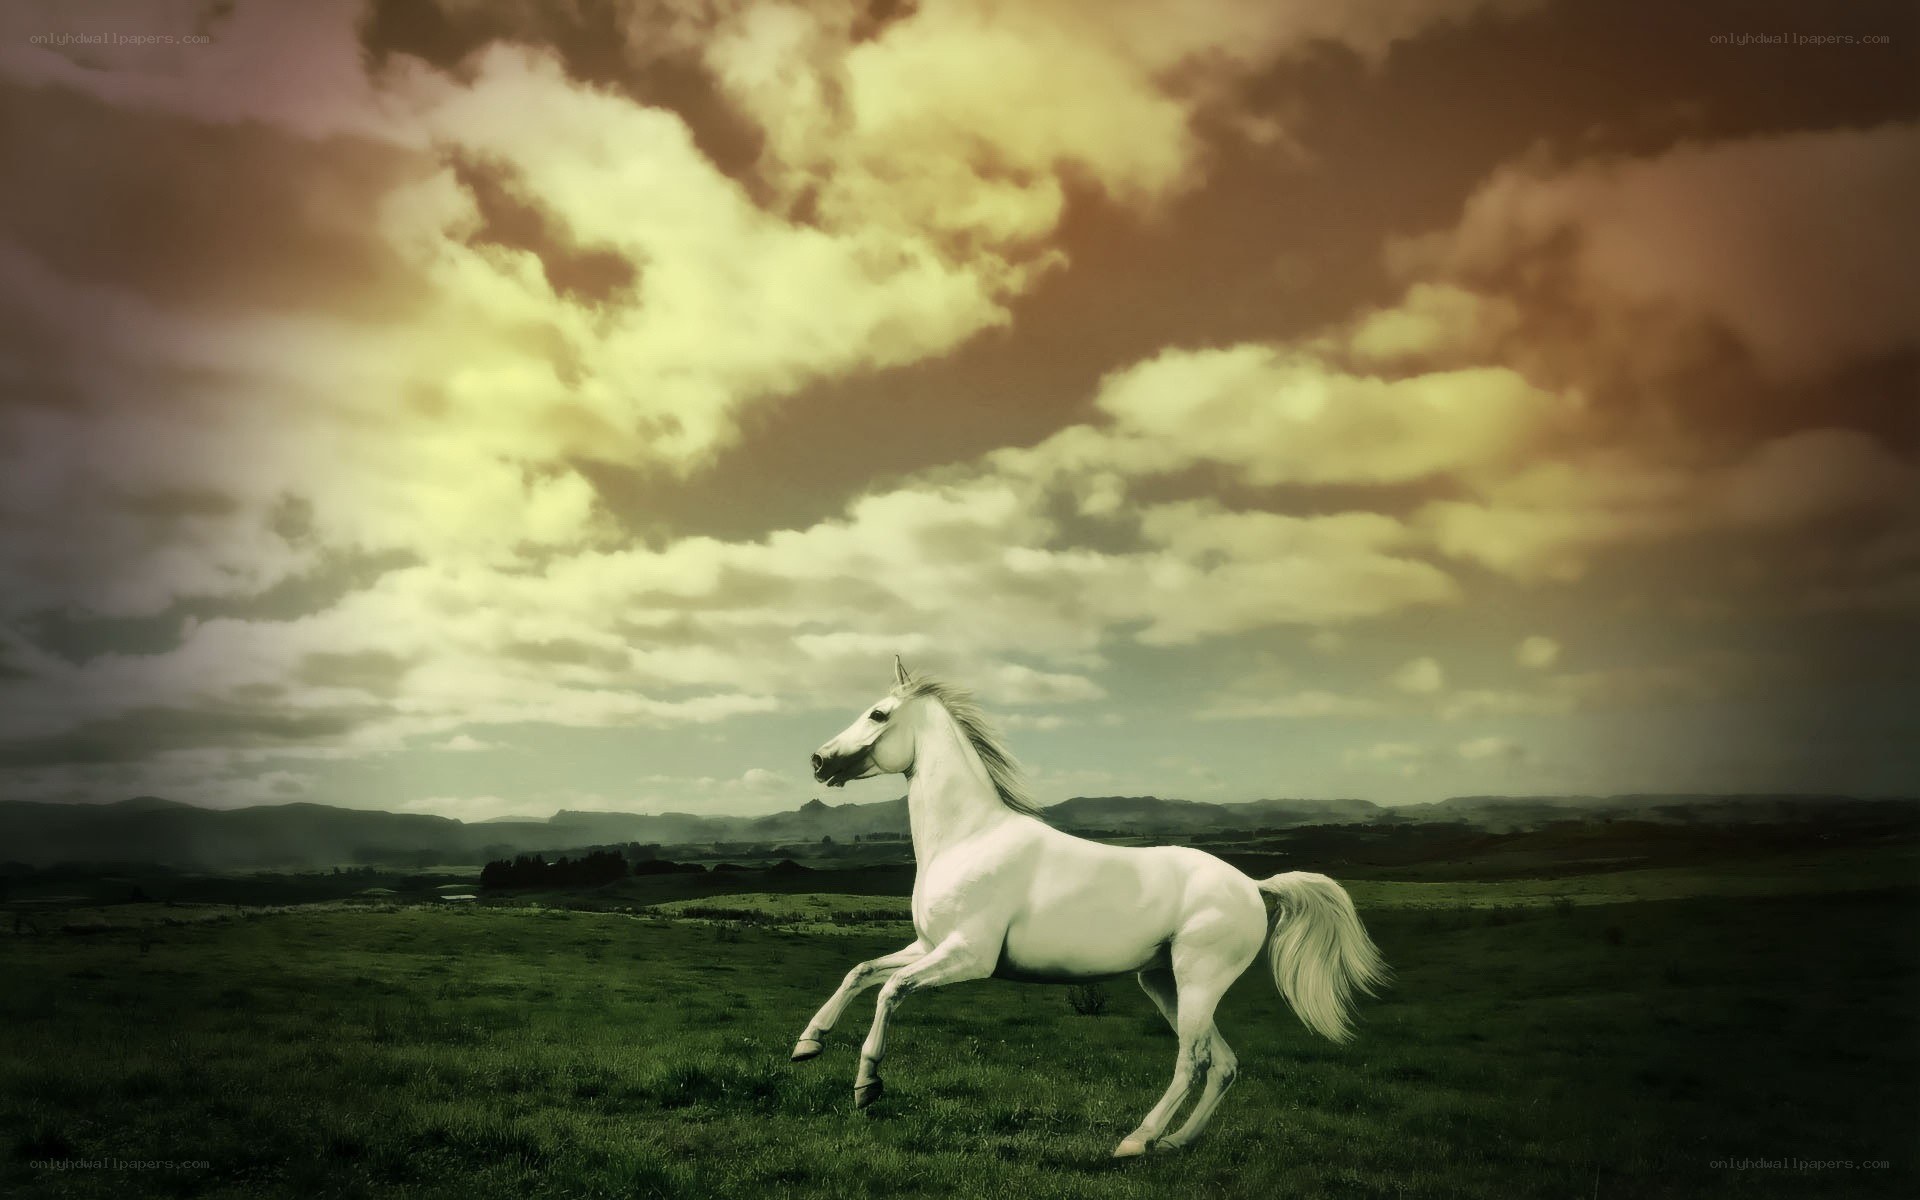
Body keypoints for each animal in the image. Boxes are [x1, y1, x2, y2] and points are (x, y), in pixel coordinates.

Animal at [790, 656, 1389, 1157]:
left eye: (878, 713)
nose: (818, 761)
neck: (969, 838)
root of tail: (1252, 884)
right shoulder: (929, 945)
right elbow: (861, 971)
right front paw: (807, 1045)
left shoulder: (969, 957)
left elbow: (890, 989)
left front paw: (867, 1085)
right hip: (1164, 982)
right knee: (1223, 1064)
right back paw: (1173, 1145)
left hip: (1199, 978)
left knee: (1193, 1060)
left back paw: (1135, 1142)